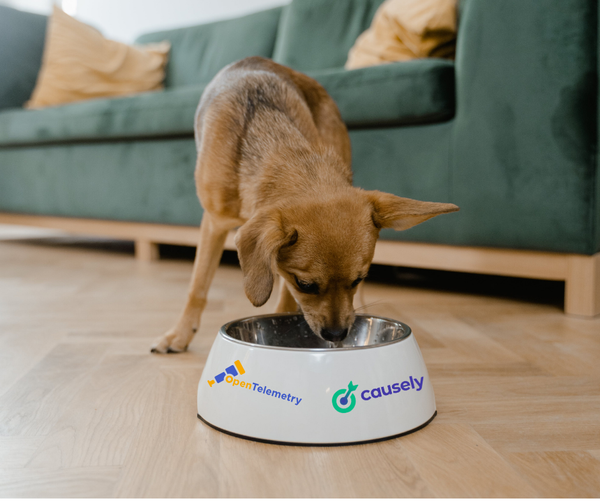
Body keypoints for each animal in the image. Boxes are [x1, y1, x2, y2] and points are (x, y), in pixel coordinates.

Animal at [151, 56, 460, 354]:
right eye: (306, 285)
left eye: (358, 279)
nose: (337, 335)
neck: (278, 146)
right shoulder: (214, 224)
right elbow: (197, 287)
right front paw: (180, 334)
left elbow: (284, 302)